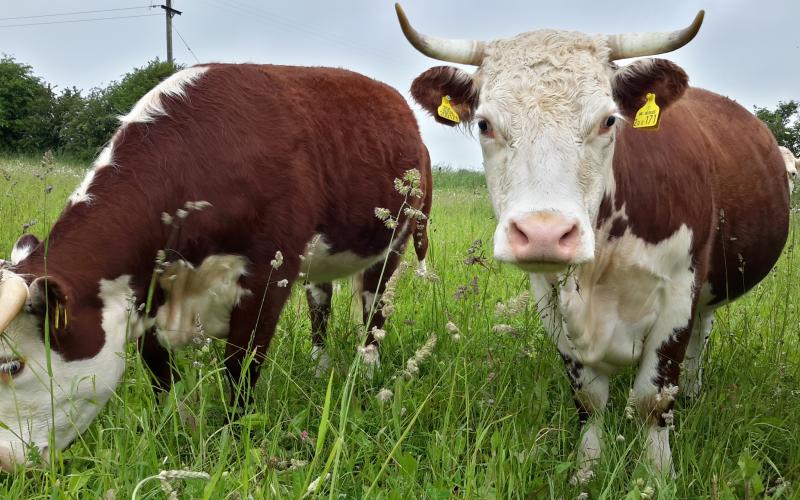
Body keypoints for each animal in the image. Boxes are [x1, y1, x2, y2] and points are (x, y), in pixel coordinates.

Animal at [0, 64, 432, 470]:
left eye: (13, 366)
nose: (6, 462)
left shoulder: (267, 275)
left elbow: (241, 366)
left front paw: (234, 437)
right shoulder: (146, 291)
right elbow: (161, 374)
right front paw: (175, 426)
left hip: (397, 239)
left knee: (375, 308)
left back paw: (368, 370)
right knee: (320, 302)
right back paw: (318, 362)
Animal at [396, 4, 792, 480]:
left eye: (608, 120)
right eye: (486, 124)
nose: (544, 233)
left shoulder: (679, 293)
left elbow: (653, 398)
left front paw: (656, 476)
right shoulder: (551, 301)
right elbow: (589, 398)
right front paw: (586, 469)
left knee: (702, 331)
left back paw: (693, 392)